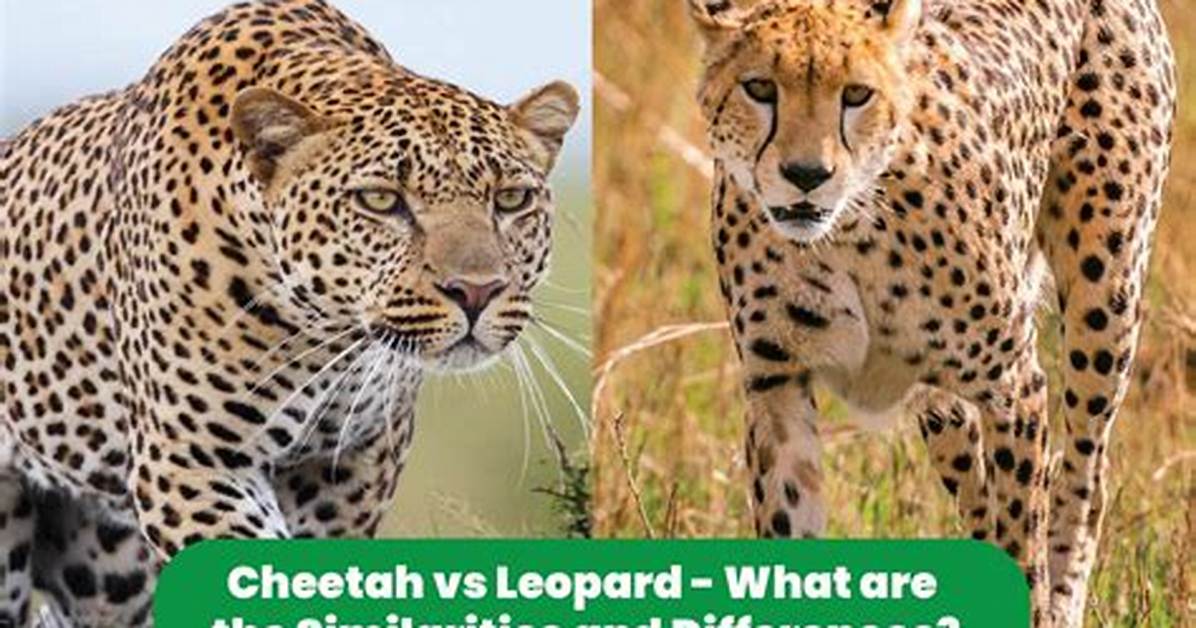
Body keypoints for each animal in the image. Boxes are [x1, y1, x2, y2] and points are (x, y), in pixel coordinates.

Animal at [0, 0, 579, 625]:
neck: (321, 333)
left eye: (511, 200)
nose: (476, 291)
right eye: (381, 201)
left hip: (109, 570)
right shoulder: (191, 464)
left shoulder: (349, 468)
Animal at [685, 0, 1176, 625]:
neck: (845, 232)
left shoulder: (1014, 387)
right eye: (759, 88)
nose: (806, 176)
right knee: (977, 496)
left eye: (856, 94)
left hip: (1105, 301)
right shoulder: (778, 386)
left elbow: (1024, 540)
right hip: (941, 408)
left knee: (1085, 476)